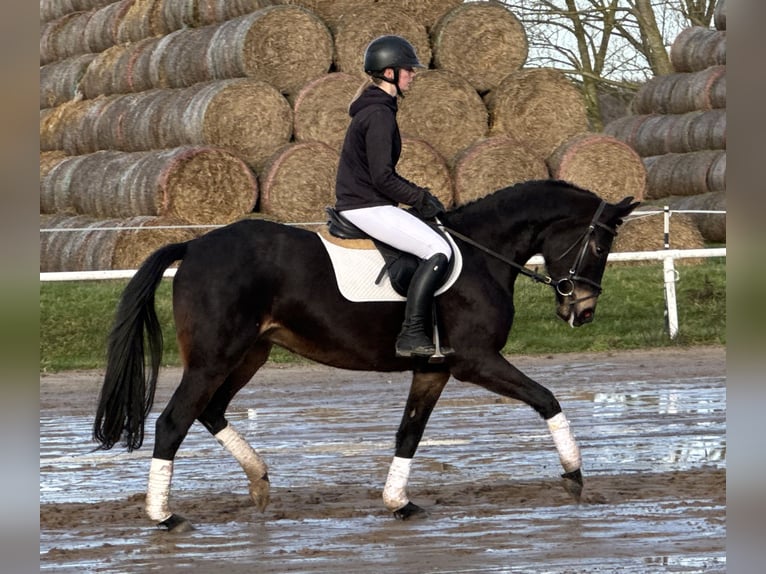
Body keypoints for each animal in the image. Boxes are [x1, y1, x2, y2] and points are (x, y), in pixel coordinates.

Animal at [93, 179, 640, 532]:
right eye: (599, 246)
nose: (582, 311)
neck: (483, 255)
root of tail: (193, 246)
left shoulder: (434, 368)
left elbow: (409, 433)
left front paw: (398, 502)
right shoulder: (475, 361)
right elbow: (546, 398)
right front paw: (574, 476)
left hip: (250, 354)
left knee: (210, 411)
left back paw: (260, 483)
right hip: (215, 357)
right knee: (174, 422)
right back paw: (165, 516)